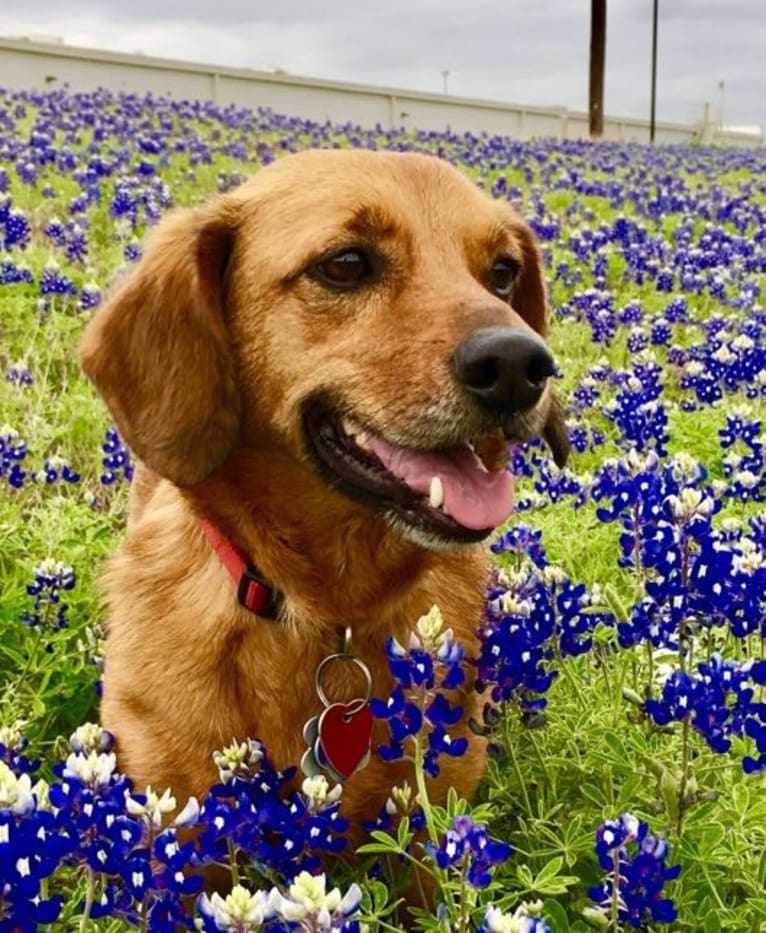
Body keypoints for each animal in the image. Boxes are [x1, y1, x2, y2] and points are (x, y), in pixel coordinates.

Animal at [78, 147, 568, 860]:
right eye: (346, 264)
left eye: (503, 273)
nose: (518, 364)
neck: (328, 609)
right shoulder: (175, 820)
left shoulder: (428, 816)